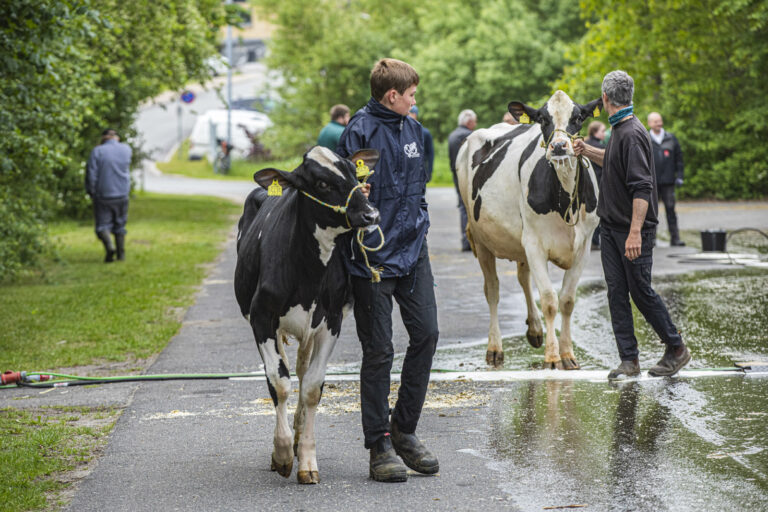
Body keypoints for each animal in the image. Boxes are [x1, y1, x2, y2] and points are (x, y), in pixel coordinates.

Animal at [232, 145, 380, 484]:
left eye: (354, 173)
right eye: (321, 183)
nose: (371, 215)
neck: (310, 272)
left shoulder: (331, 320)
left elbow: (312, 386)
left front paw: (307, 459)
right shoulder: (262, 317)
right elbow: (279, 383)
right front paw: (283, 453)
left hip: (308, 329)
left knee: (299, 369)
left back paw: (299, 433)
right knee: (282, 374)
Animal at [456, 91, 600, 368]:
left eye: (578, 117)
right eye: (542, 119)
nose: (559, 147)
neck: (565, 199)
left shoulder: (584, 246)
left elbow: (567, 300)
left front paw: (568, 354)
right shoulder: (534, 243)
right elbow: (549, 301)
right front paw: (552, 358)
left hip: (519, 242)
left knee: (523, 278)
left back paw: (534, 330)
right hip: (481, 239)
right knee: (492, 290)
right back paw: (495, 348)